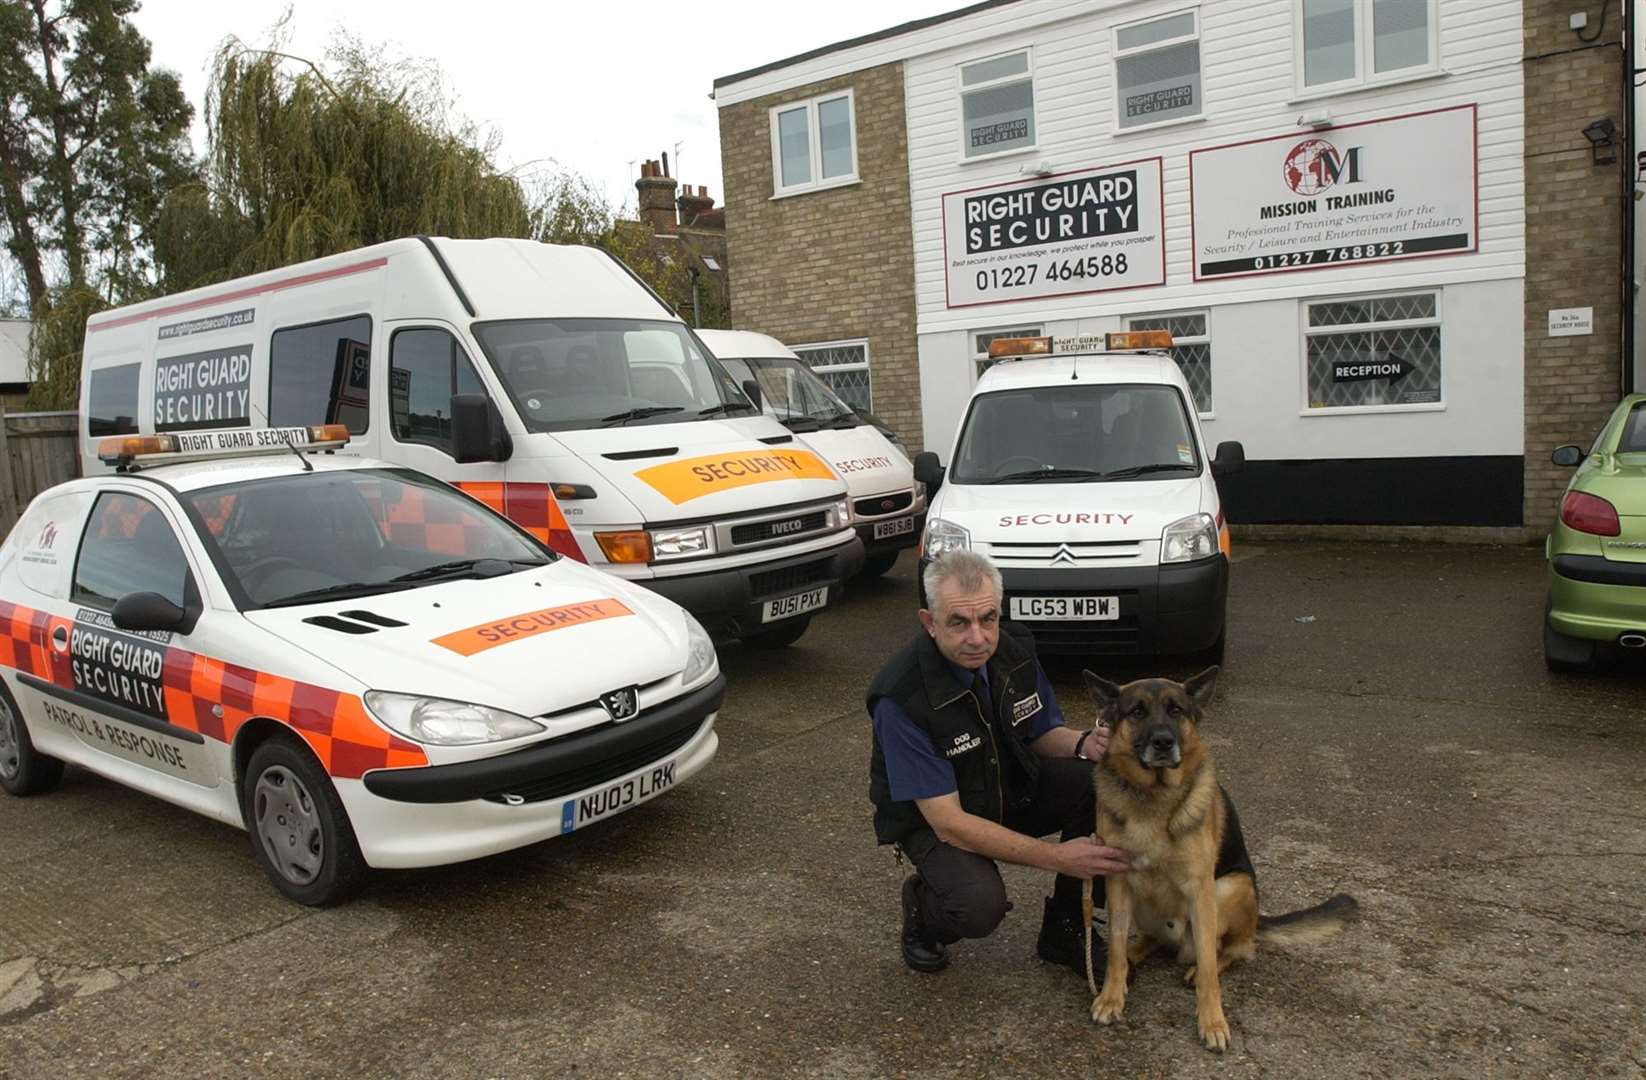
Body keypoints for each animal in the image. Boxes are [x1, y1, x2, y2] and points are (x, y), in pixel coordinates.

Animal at [1073, 665, 1356, 1053]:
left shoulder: (1201, 889)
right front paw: (1111, 997)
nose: (1163, 742)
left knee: (1236, 950)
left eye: (1176, 710)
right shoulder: (1117, 879)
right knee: (1155, 940)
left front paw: (1212, 1022)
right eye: (1137, 711)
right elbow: (1115, 946)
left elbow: (1209, 965)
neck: (1154, 797)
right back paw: (1137, 950)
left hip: (1232, 886)